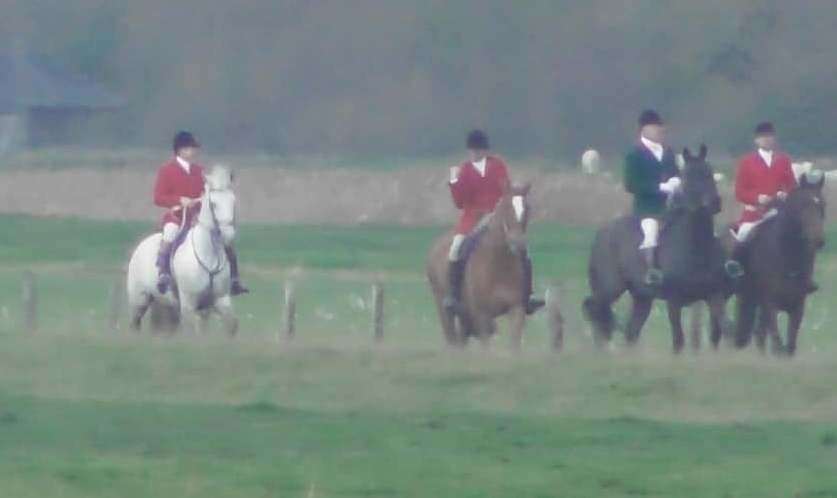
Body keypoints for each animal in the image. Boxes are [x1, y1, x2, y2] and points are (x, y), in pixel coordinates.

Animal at [126, 165, 238, 336]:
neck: (209, 255)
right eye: (213, 204)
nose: (228, 235)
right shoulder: (188, 303)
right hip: (139, 300)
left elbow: (231, 325)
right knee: (134, 324)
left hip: (167, 305)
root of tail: (141, 246)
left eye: (233, 201)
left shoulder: (220, 299)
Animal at [428, 183, 532, 350]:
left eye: (527, 208)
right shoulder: (481, 314)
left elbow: (514, 344)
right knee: (452, 339)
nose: (519, 245)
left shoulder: (517, 308)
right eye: (506, 207)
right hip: (444, 307)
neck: (500, 264)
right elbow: (486, 347)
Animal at [580, 146, 732, 352]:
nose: (714, 203)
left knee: (630, 330)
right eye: (688, 176)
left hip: (642, 297)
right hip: (610, 288)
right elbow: (678, 340)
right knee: (594, 309)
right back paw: (601, 348)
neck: (696, 246)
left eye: (709, 171)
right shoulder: (674, 301)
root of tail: (603, 232)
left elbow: (724, 329)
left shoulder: (715, 295)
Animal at [732, 169, 824, 356]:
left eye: (822, 205)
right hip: (748, 296)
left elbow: (790, 345)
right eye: (804, 205)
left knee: (759, 333)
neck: (788, 255)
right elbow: (777, 343)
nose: (819, 241)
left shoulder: (798, 305)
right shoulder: (770, 303)